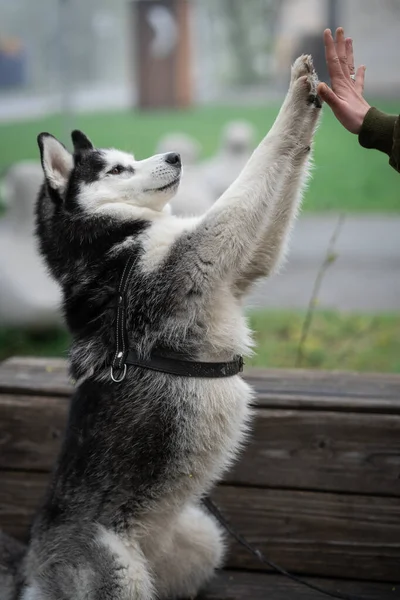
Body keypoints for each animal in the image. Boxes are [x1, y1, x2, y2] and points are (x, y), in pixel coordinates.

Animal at [7, 56, 320, 600]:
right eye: (116, 169)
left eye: (133, 157)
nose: (174, 155)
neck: (113, 242)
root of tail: (31, 563)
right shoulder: (202, 251)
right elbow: (257, 164)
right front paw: (295, 95)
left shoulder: (240, 270)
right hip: (122, 575)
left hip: (203, 537)